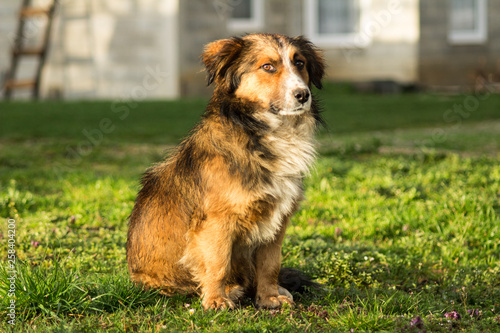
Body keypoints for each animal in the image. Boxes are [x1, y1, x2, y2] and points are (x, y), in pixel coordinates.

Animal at [126, 33, 324, 308]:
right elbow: (218, 262)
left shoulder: (277, 221)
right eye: (268, 66)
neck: (265, 134)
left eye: (300, 63)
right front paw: (216, 300)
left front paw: (268, 297)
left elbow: (270, 265)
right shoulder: (217, 221)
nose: (303, 95)